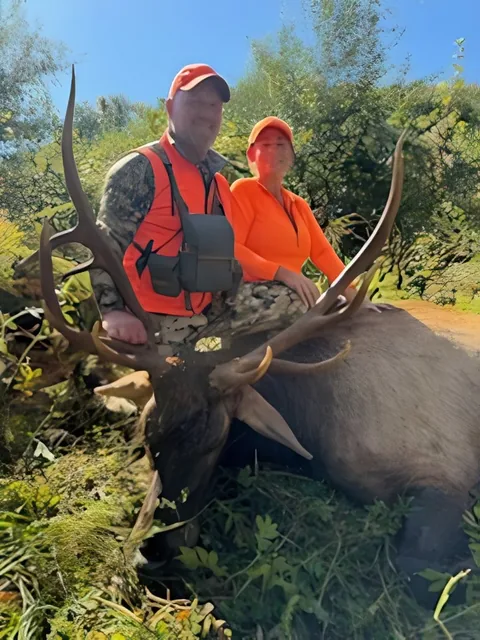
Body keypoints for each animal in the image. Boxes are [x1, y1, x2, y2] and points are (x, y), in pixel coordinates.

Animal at [38, 66, 480, 608]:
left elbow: (419, 573)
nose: (152, 558)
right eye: (147, 436)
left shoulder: (446, 470)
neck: (313, 423)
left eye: (216, 439)